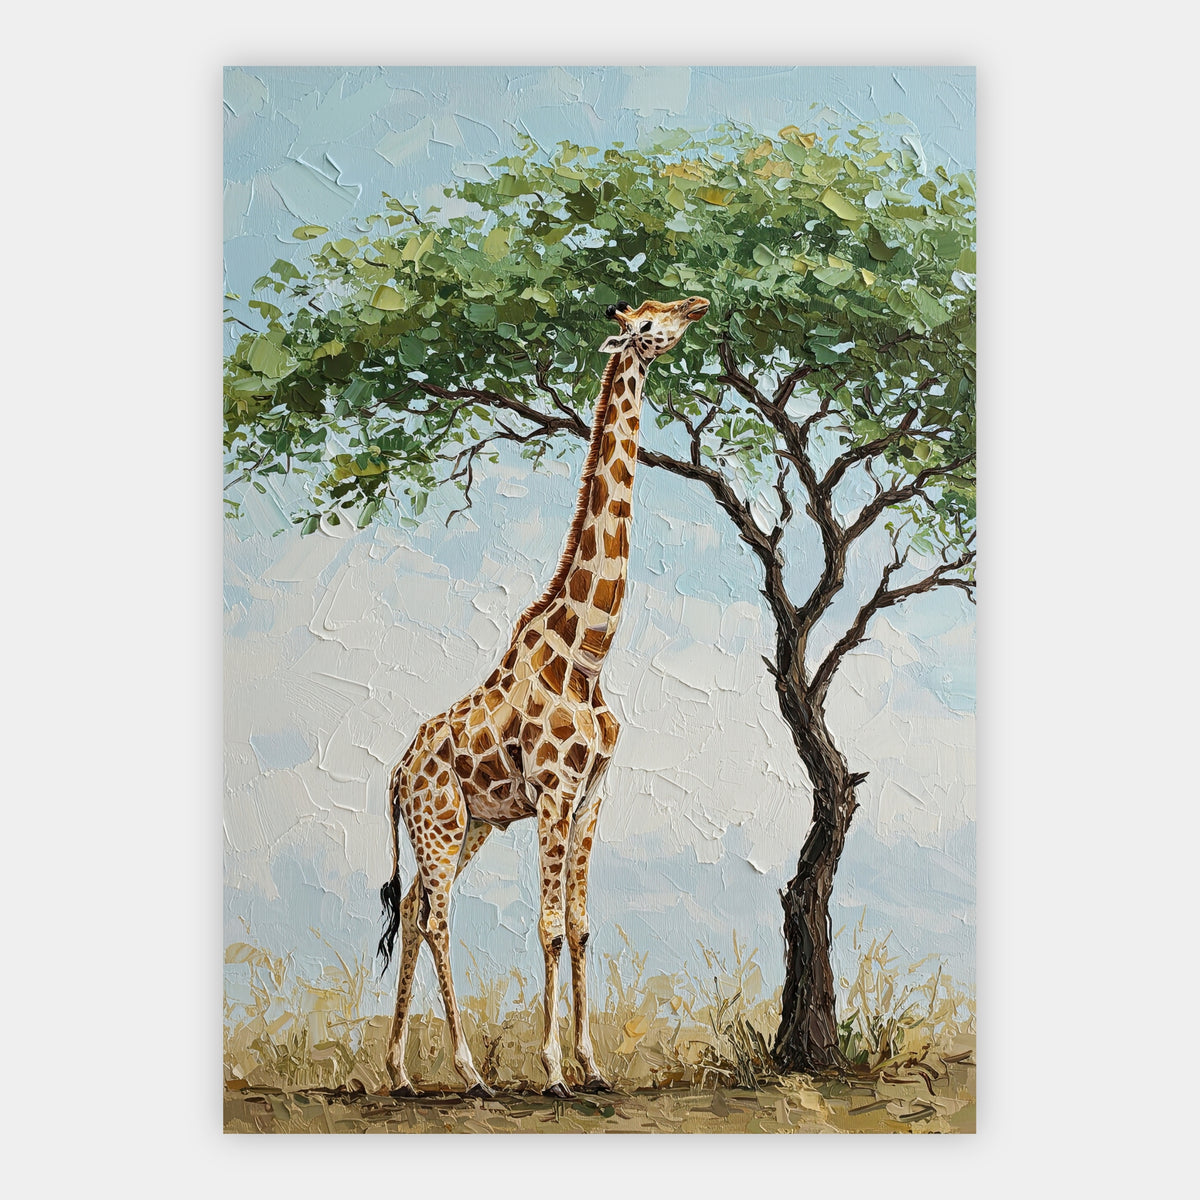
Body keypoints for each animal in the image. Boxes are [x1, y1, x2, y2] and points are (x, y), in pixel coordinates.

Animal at [377, 295, 709, 1098]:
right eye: (646, 325)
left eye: (663, 309)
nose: (696, 305)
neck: (587, 652)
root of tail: (397, 774)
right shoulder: (555, 792)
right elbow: (550, 927)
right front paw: (555, 1069)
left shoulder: (592, 795)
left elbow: (582, 925)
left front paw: (594, 1066)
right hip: (441, 823)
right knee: (436, 918)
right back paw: (468, 1072)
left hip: (466, 826)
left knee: (414, 907)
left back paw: (399, 1072)